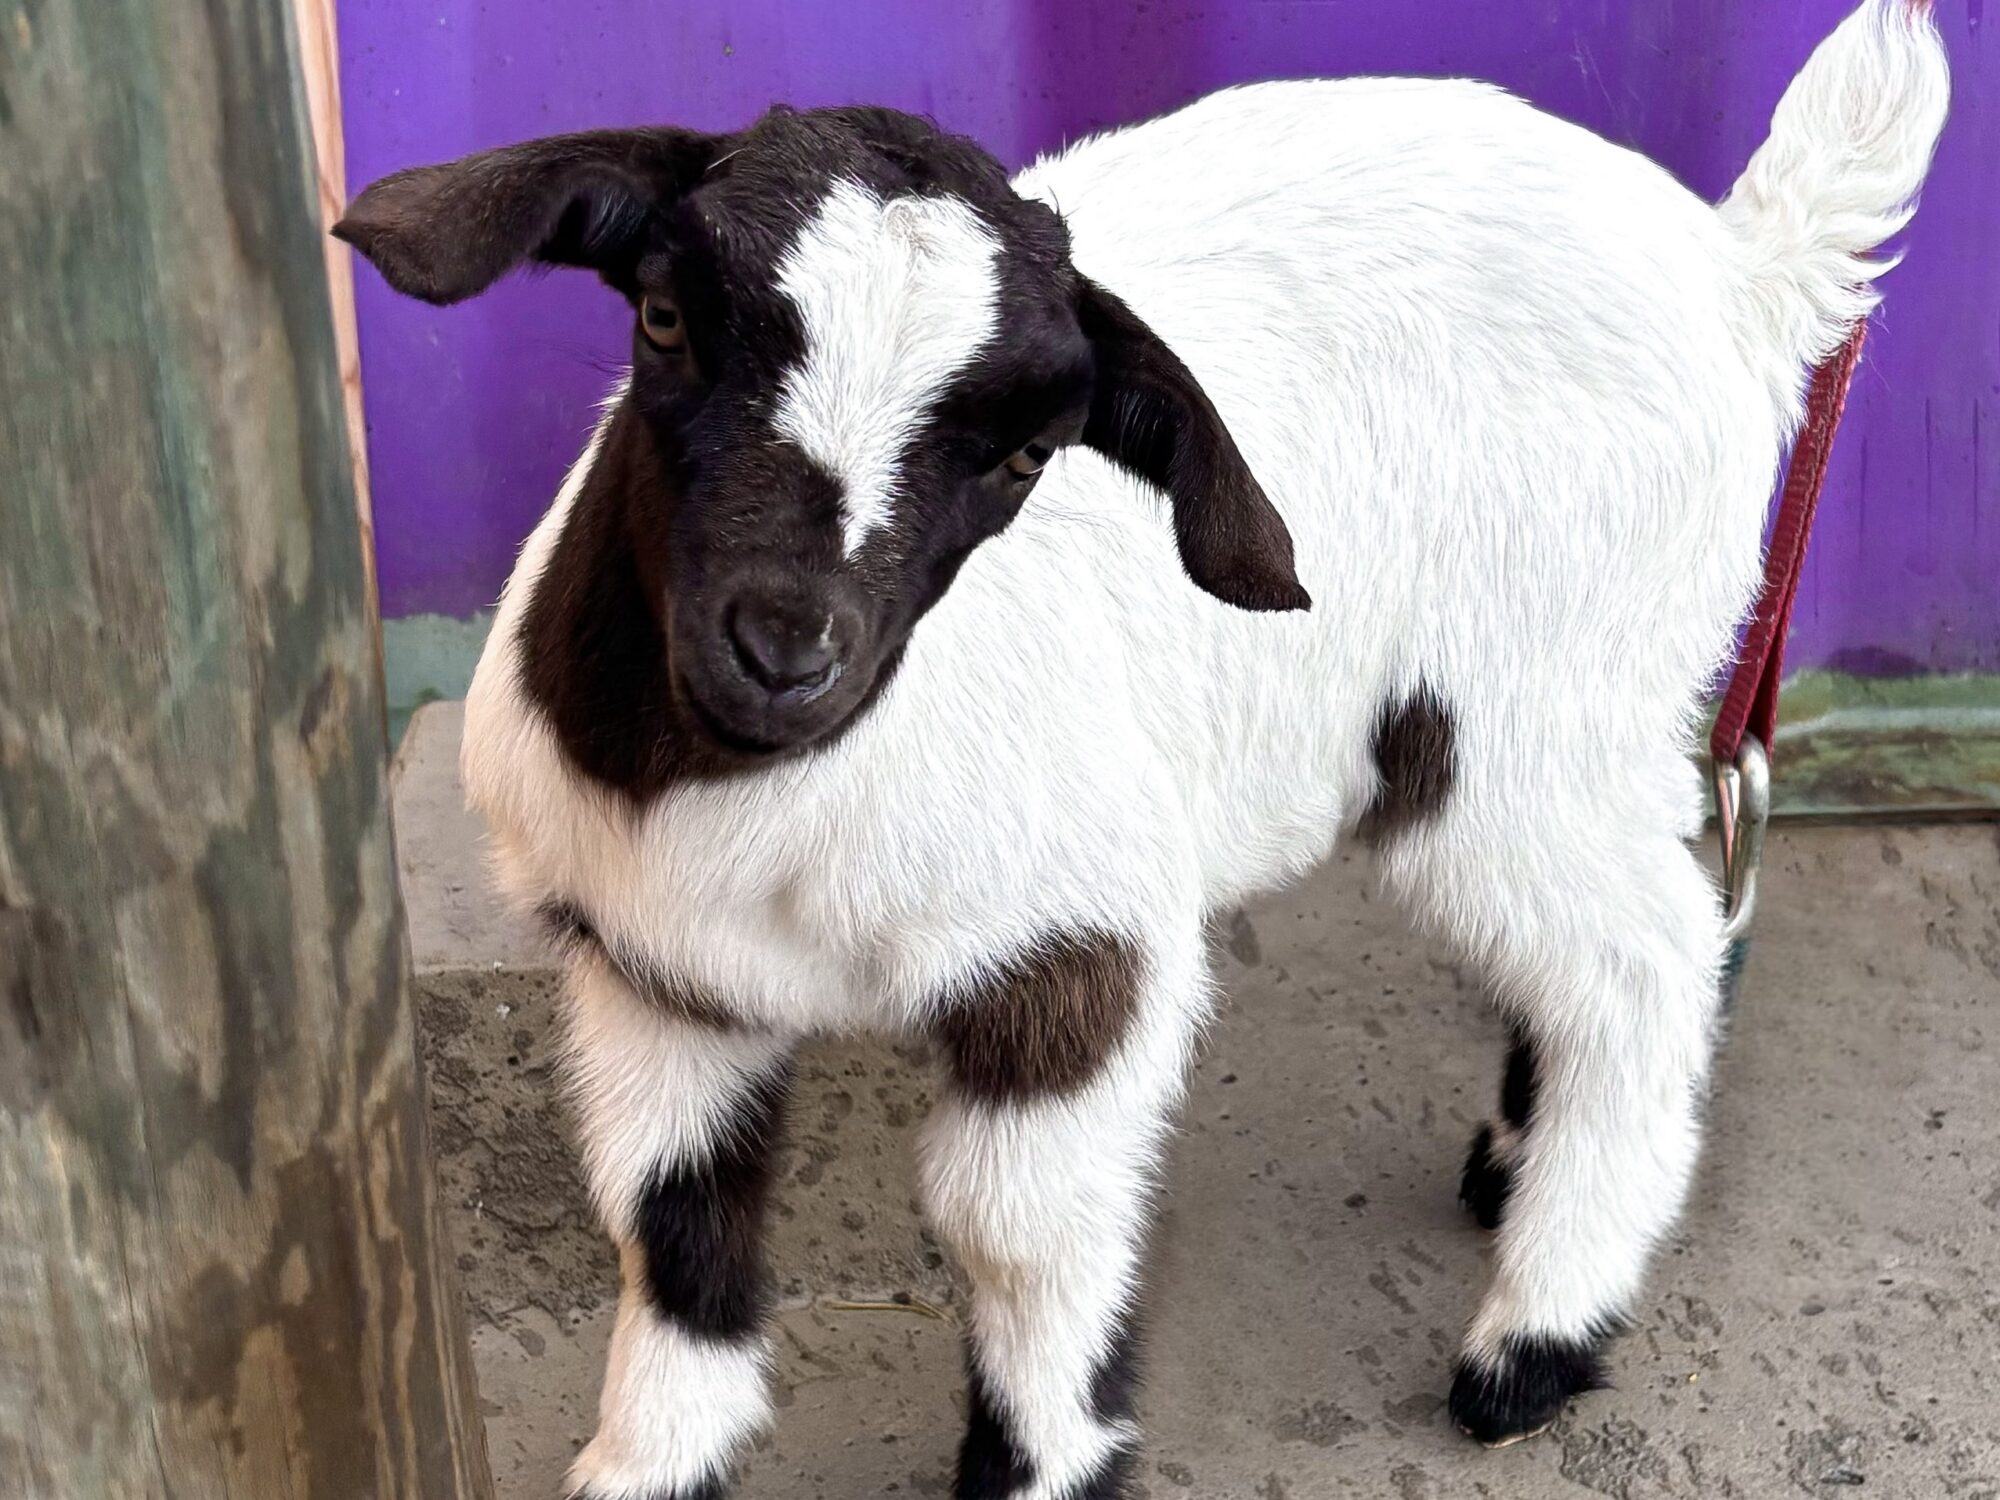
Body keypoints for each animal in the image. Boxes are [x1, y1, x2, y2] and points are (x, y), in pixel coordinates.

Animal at [338, 4, 1949, 1496]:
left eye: (1023, 454)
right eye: (664, 323)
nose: (787, 650)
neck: (751, 800)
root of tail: (1741, 273)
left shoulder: (1077, 945)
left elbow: (1014, 1232)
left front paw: (1045, 1461)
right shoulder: (655, 973)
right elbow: (670, 1216)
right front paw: (652, 1462)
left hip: (1538, 708)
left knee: (1648, 957)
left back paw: (1533, 1340)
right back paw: (1513, 1165)